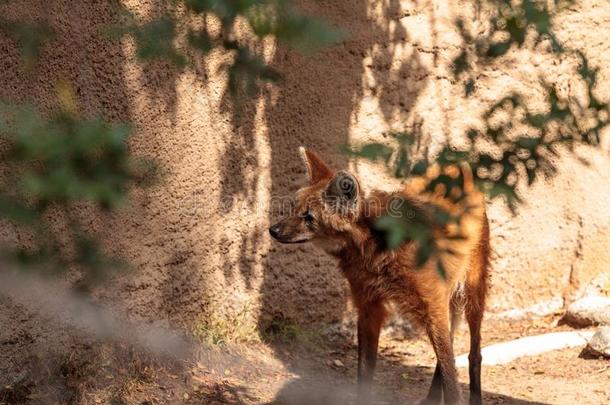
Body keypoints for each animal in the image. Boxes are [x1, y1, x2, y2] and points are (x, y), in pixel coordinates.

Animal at [268, 148, 486, 404]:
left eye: (309, 217)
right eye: (294, 208)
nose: (273, 230)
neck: (373, 250)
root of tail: (458, 167)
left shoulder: (432, 305)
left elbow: (450, 372)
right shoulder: (368, 304)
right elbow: (365, 370)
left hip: (472, 291)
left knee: (473, 352)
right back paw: (431, 398)